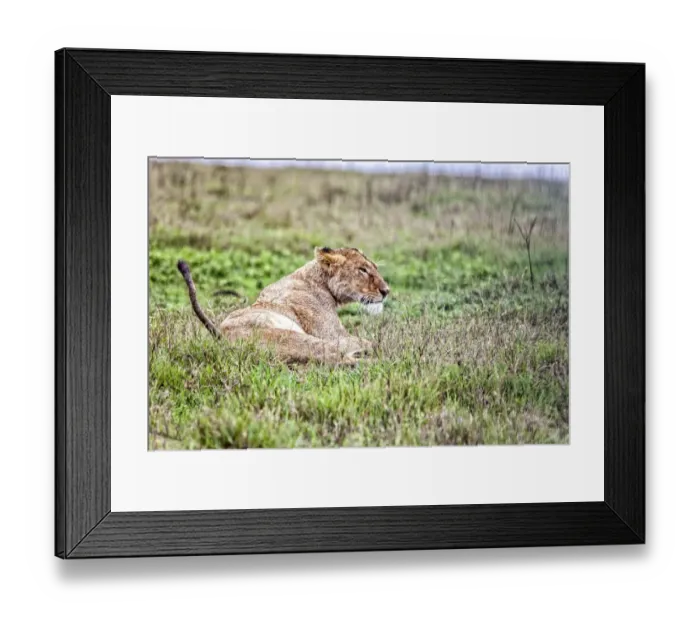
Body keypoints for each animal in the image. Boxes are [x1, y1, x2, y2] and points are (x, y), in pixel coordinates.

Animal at [177, 247, 390, 365]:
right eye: (362, 270)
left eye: (375, 268)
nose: (386, 291)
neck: (317, 279)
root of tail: (220, 337)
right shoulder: (332, 334)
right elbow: (368, 342)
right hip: (299, 339)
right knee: (339, 358)